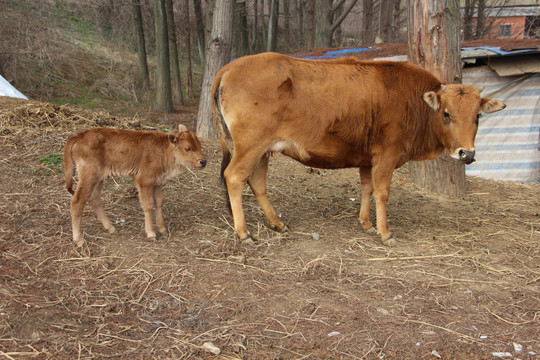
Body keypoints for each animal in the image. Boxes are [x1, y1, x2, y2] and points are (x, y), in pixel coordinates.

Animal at [63, 124, 206, 248]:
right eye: (187, 148)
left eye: (199, 146)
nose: (203, 162)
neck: (164, 150)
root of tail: (79, 136)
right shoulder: (145, 181)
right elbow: (148, 205)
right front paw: (151, 234)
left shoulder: (157, 183)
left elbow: (159, 202)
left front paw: (162, 228)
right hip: (88, 177)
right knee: (77, 201)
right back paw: (79, 240)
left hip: (99, 178)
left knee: (94, 198)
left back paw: (111, 228)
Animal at [212, 52, 506, 246]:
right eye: (446, 113)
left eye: (478, 116)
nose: (467, 153)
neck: (413, 101)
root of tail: (230, 67)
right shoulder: (387, 155)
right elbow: (382, 192)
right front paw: (385, 233)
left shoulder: (368, 158)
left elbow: (367, 188)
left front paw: (366, 223)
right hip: (251, 146)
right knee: (234, 178)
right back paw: (243, 232)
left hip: (262, 150)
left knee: (257, 183)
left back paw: (276, 223)